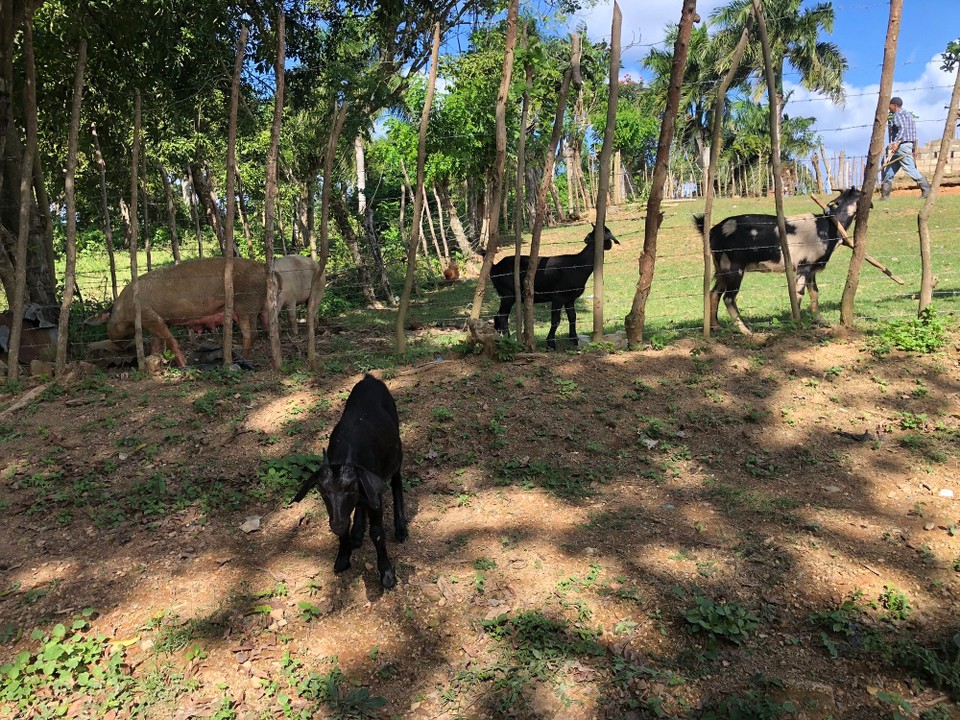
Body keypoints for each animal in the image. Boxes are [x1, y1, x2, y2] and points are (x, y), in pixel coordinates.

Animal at [87, 258, 268, 368]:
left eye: (108, 322)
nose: (118, 345)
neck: (125, 307)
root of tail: (263, 267)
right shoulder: (154, 321)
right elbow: (157, 344)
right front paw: (156, 362)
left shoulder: (150, 316)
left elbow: (170, 340)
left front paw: (183, 365)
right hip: (263, 304)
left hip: (246, 303)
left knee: (251, 334)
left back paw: (241, 360)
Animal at [296, 374, 408, 588]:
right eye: (322, 491)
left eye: (350, 487)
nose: (337, 525)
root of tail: (370, 378)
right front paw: (343, 556)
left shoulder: (374, 495)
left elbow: (377, 532)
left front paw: (387, 574)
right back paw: (357, 532)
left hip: (396, 453)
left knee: (397, 481)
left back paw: (401, 528)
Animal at [484, 225, 620, 348]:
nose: (611, 244)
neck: (578, 265)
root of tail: (494, 268)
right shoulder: (558, 297)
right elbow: (556, 320)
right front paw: (551, 343)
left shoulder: (570, 298)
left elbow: (573, 317)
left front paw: (574, 339)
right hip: (508, 294)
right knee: (502, 316)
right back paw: (507, 339)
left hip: (505, 295)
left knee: (498, 315)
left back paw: (500, 337)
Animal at [688, 184, 864, 334]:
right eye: (861, 195)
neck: (828, 226)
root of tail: (713, 230)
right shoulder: (804, 266)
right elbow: (799, 294)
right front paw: (795, 322)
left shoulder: (812, 269)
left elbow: (814, 293)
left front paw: (820, 320)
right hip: (733, 267)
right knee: (728, 298)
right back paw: (745, 330)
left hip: (721, 268)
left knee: (714, 293)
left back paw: (716, 326)